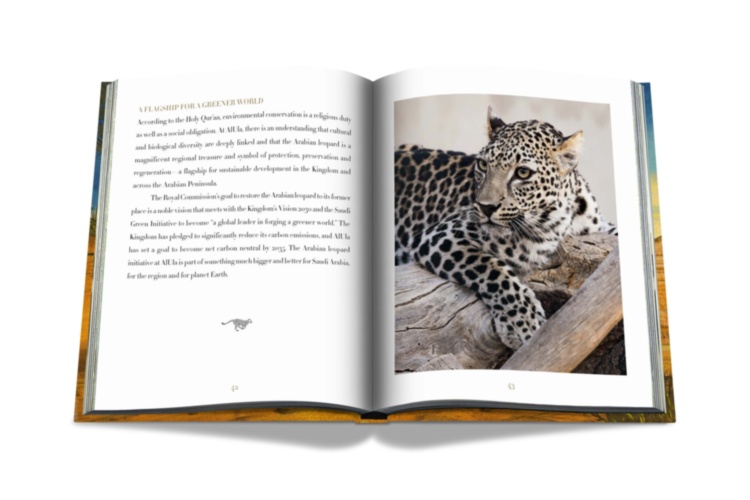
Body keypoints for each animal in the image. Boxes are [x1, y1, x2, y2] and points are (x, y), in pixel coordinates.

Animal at [395, 108, 616, 350]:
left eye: (522, 173)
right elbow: (491, 269)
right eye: (483, 165)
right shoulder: (443, 234)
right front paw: (523, 323)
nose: (485, 207)